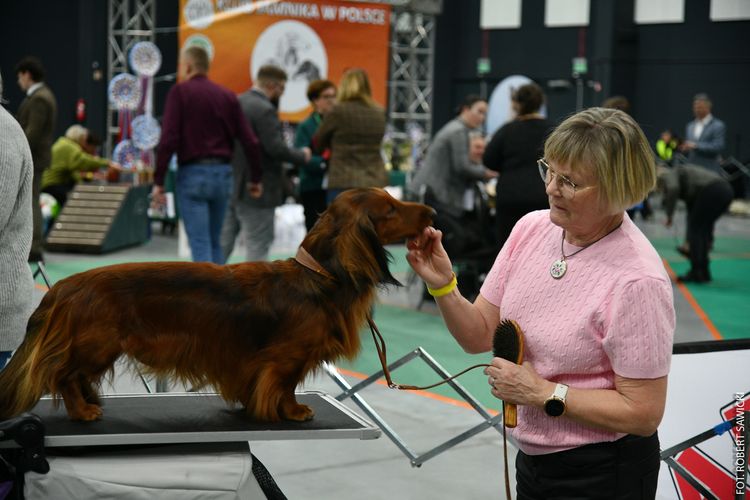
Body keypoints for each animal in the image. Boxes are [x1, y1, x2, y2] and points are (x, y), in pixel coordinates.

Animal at [0, 188, 434, 422]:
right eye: (390, 209)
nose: (431, 211)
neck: (318, 277)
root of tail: (64, 287)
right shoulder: (286, 357)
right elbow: (285, 385)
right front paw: (293, 411)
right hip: (97, 345)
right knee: (63, 375)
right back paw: (82, 410)